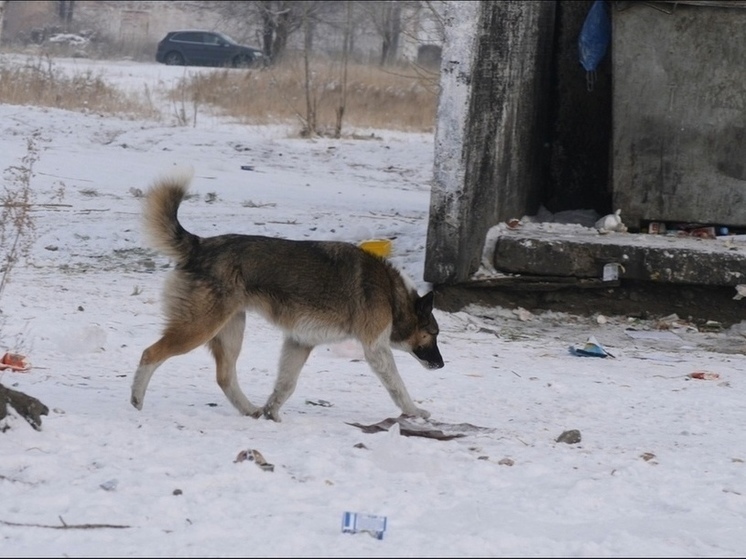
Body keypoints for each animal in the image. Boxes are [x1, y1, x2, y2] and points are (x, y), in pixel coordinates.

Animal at [129, 174, 444, 420]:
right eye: (433, 334)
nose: (442, 365)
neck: (391, 293)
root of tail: (201, 245)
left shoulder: (299, 342)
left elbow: (285, 385)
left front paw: (272, 412)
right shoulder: (376, 349)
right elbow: (397, 387)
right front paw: (415, 412)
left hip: (230, 331)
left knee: (225, 376)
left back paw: (250, 410)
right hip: (199, 327)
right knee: (150, 353)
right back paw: (136, 400)